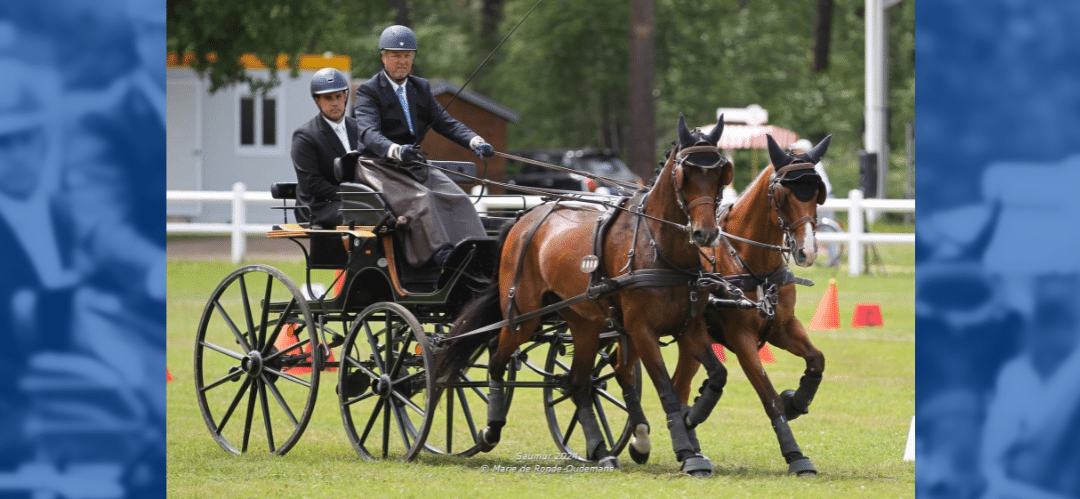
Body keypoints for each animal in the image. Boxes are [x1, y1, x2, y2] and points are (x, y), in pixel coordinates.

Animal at [438, 113, 734, 475]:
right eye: (685, 174)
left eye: (721, 174)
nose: (705, 233)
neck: (657, 246)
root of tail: (522, 219)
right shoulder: (642, 330)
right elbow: (665, 387)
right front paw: (686, 450)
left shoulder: (689, 326)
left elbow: (717, 374)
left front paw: (693, 418)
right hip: (523, 314)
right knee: (496, 356)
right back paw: (491, 430)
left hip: (583, 323)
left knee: (578, 383)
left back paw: (600, 448)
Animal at [665, 133, 833, 475]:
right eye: (783, 193)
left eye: (817, 193)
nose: (807, 251)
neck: (752, 263)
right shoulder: (740, 338)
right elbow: (767, 394)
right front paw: (796, 455)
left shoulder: (783, 327)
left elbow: (817, 360)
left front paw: (796, 401)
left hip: (691, 339)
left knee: (679, 386)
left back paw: (692, 445)